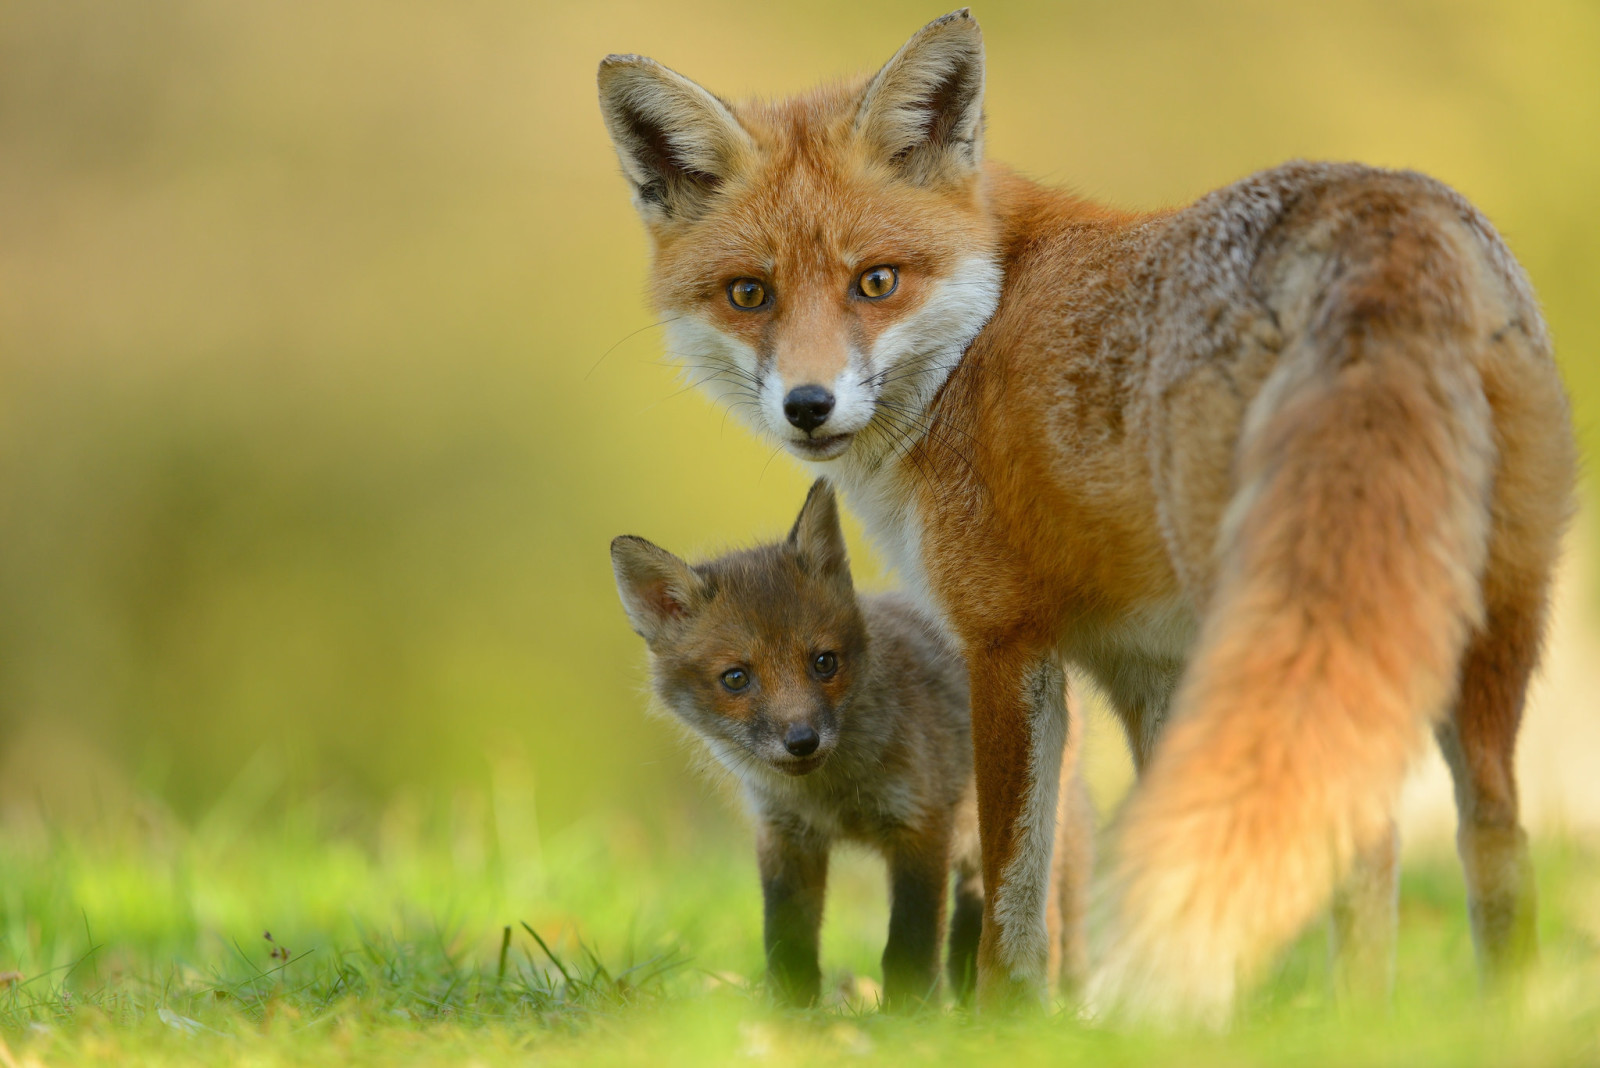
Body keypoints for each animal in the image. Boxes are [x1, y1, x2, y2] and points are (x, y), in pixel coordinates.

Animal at [598, 10, 1574, 1023]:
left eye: (877, 281)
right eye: (750, 294)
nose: (808, 405)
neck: (976, 339)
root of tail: (1385, 216)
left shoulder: (1005, 640)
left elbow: (1013, 879)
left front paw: (1007, 1021)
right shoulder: (1147, 665)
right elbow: (1169, 847)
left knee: (1363, 827)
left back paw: (1355, 1020)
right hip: (1488, 619)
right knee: (1496, 835)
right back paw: (1486, 1019)